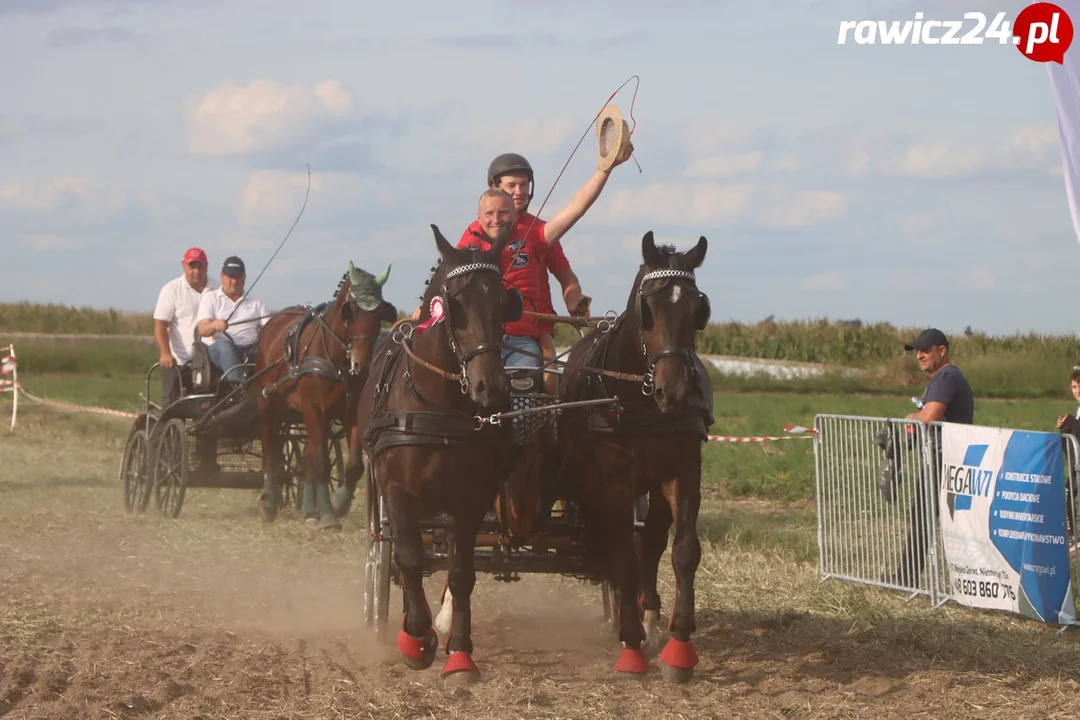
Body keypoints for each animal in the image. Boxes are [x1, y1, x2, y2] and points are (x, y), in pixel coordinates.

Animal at [251, 264, 397, 528]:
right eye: (351, 313)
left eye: (379, 313)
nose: (362, 364)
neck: (337, 362)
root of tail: (275, 320)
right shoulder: (313, 409)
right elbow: (320, 461)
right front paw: (328, 515)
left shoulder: (349, 414)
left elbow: (353, 466)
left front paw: (339, 503)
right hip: (269, 401)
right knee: (270, 447)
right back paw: (269, 501)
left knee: (306, 454)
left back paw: (309, 510)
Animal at [356, 223, 520, 686]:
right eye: (455, 303)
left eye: (504, 302)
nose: (490, 386)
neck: (440, 409)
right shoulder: (396, 491)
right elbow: (410, 558)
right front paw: (416, 638)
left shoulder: (471, 499)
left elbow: (462, 572)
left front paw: (460, 652)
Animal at [552, 231, 712, 682]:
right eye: (648, 308)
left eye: (698, 309)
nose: (671, 392)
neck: (640, 401)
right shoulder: (614, 484)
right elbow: (623, 556)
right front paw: (630, 642)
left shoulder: (682, 473)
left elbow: (683, 551)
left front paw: (679, 643)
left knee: (653, 541)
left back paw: (651, 616)